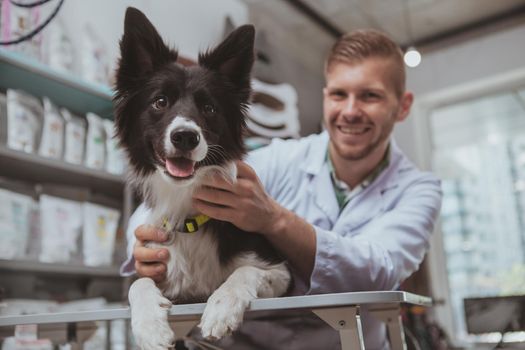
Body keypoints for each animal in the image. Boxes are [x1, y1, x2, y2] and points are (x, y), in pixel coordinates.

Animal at [112, 6, 290, 348]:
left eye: (209, 108)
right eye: (160, 101)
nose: (185, 136)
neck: (188, 211)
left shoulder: (281, 273)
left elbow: (246, 272)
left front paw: (222, 307)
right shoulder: (158, 264)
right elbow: (138, 284)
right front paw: (150, 327)